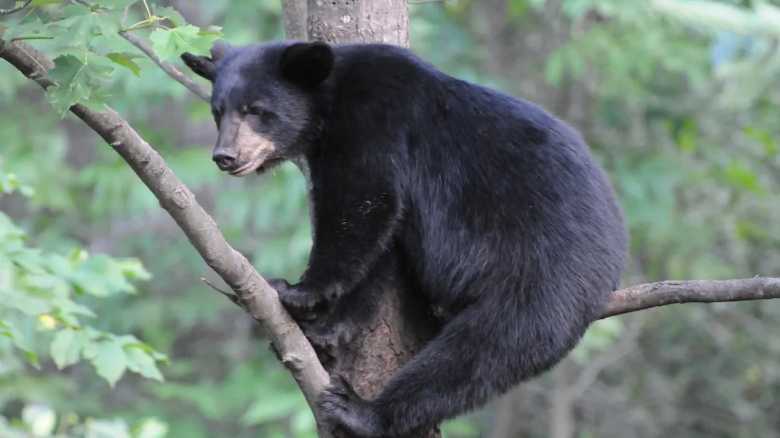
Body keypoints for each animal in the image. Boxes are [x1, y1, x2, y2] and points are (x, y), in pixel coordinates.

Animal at [182, 40, 627, 437]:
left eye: (257, 110)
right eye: (218, 111)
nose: (225, 156)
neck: (331, 97)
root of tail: (615, 261)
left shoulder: (375, 121)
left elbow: (361, 201)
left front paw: (299, 291)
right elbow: (380, 243)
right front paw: (325, 327)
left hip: (544, 268)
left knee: (489, 347)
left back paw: (362, 411)